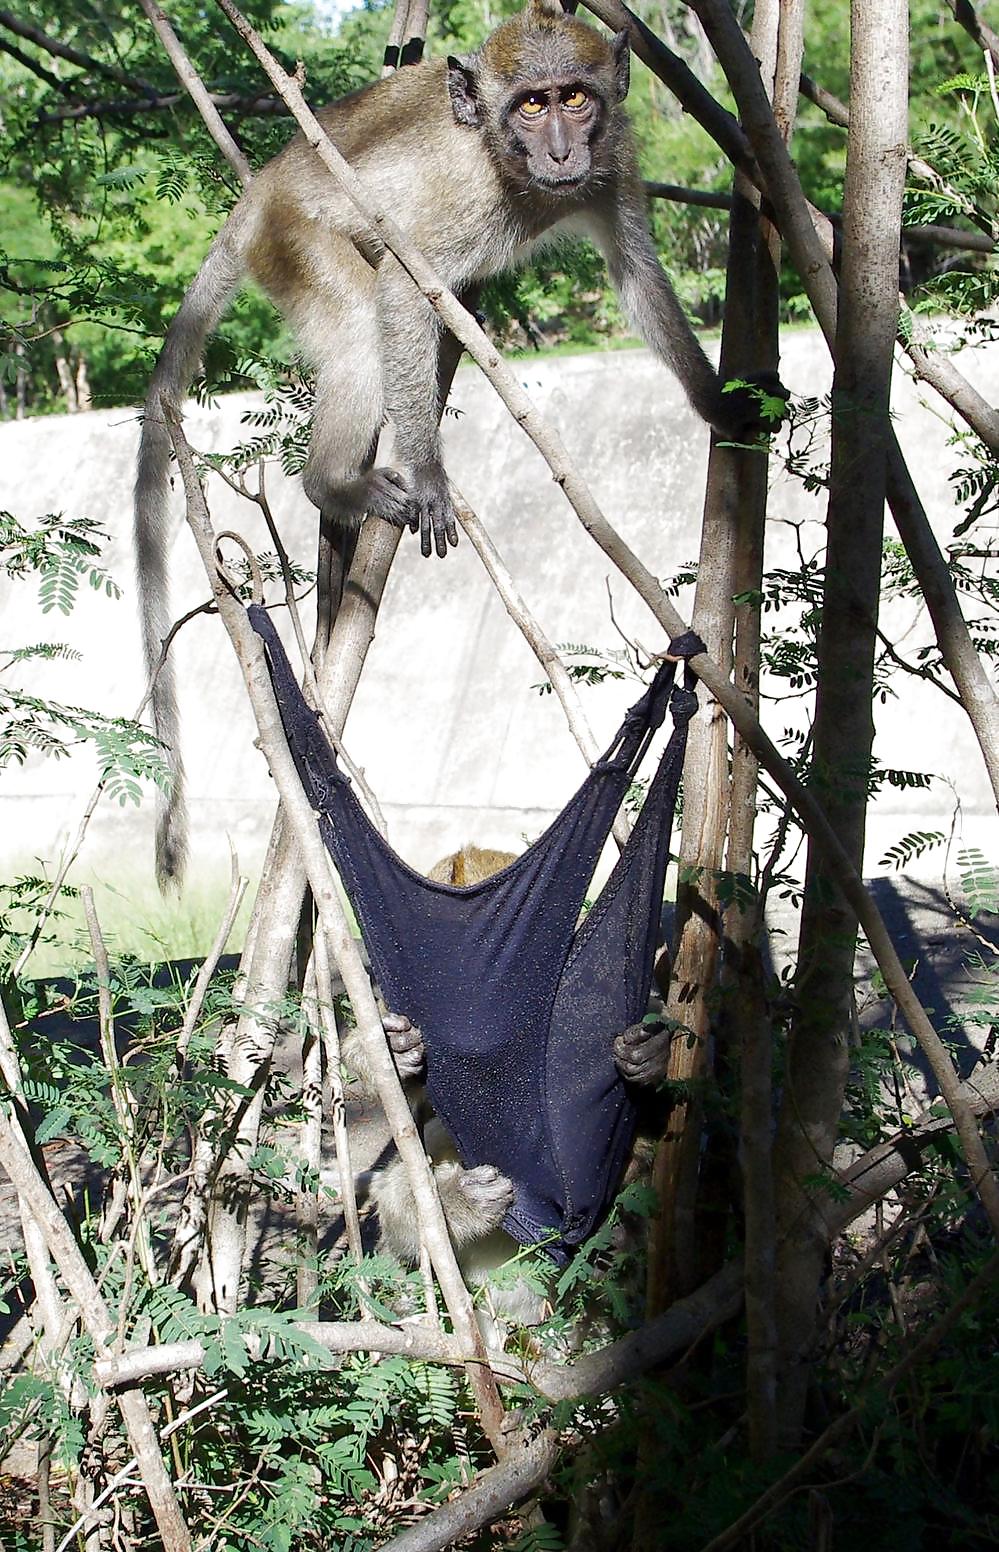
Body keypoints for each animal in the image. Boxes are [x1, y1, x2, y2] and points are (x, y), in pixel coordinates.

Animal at [136, 0, 779, 885]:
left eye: (573, 98)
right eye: (531, 106)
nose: (561, 151)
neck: (508, 168)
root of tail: (260, 189)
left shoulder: (612, 168)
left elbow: (636, 277)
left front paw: (716, 400)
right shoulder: (460, 201)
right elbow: (405, 290)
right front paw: (430, 474)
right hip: (292, 238)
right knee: (357, 322)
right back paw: (332, 483)